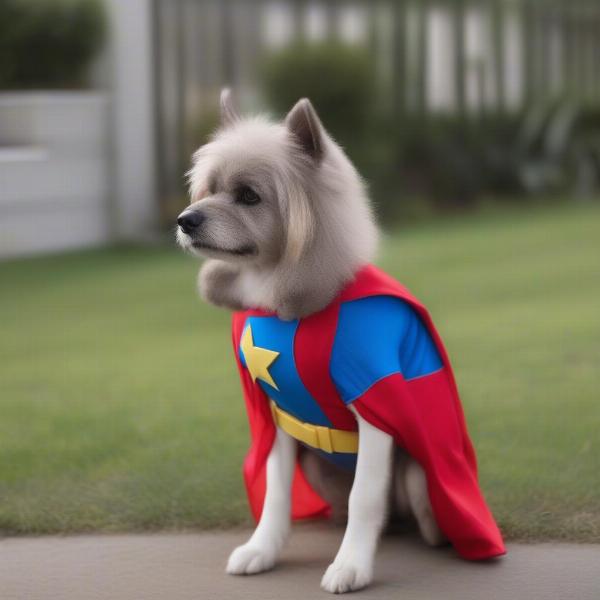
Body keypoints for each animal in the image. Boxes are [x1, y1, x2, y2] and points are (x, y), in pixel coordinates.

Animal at [178, 91, 506, 592]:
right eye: (209, 190)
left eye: (249, 196)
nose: (184, 220)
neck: (291, 301)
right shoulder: (277, 417)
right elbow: (276, 494)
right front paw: (263, 549)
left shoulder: (374, 403)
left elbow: (364, 497)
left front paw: (351, 564)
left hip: (417, 477)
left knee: (411, 513)